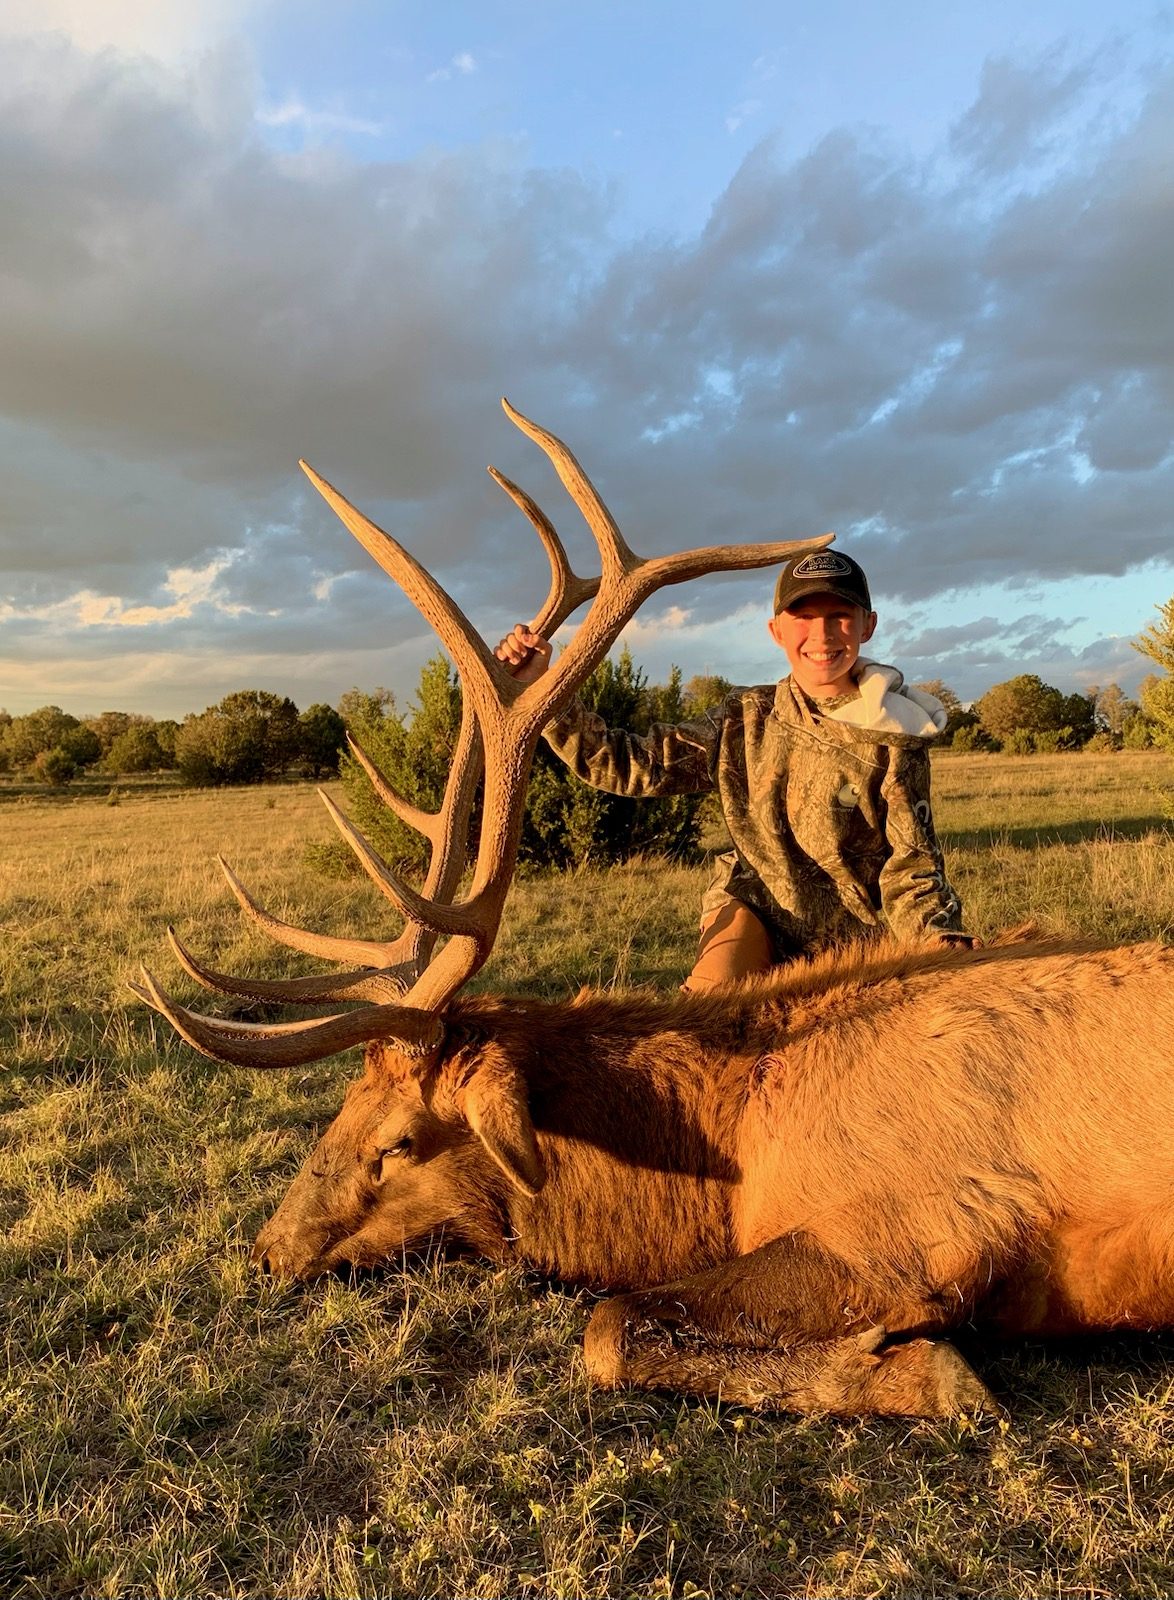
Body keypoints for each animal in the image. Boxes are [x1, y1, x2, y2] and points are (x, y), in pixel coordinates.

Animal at [134, 400, 1174, 1418]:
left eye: (398, 1142)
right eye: (342, 1104)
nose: (268, 1251)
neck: (735, 1153)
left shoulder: (920, 1226)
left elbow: (612, 1324)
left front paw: (929, 1374)